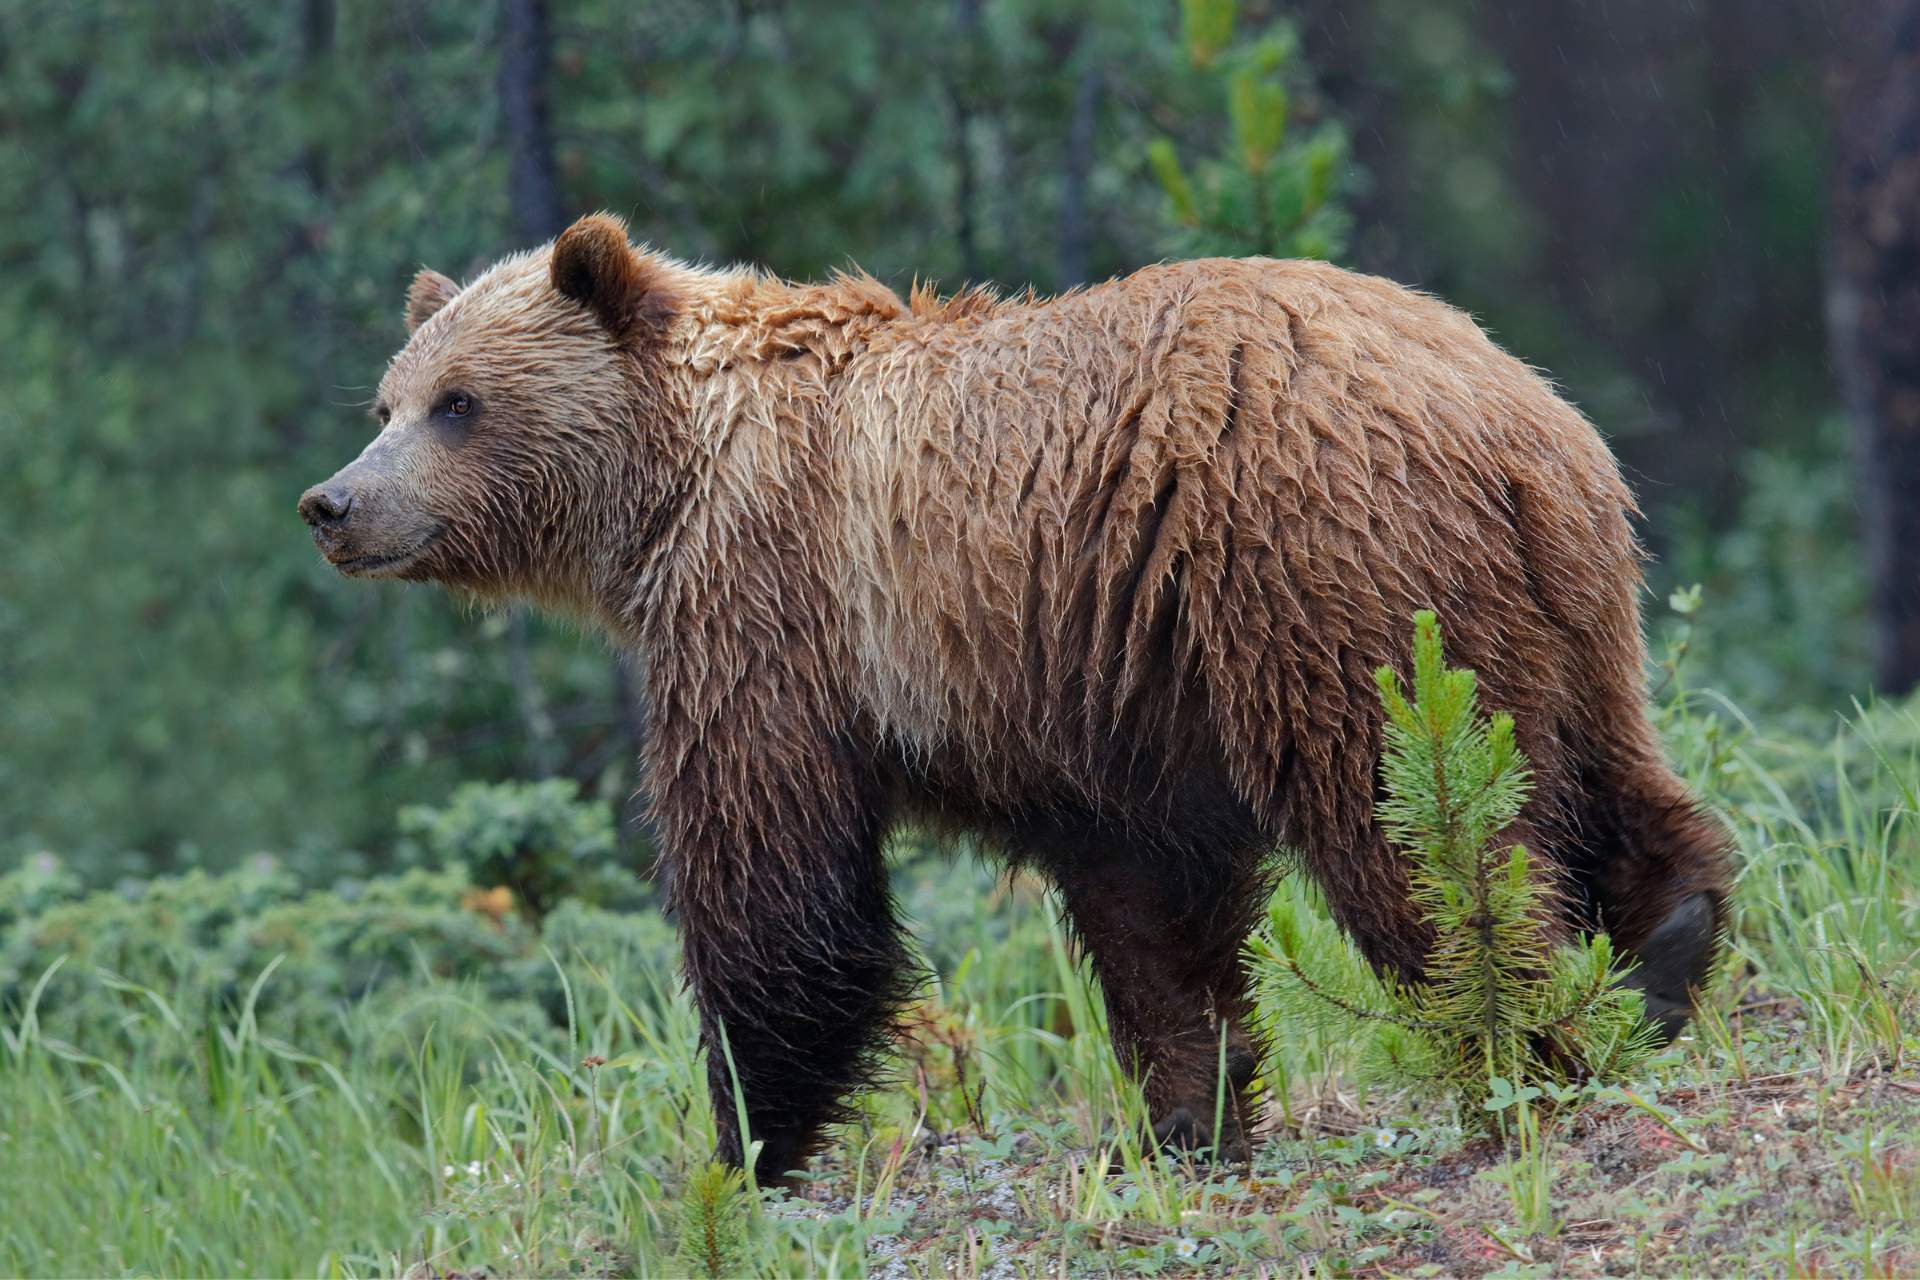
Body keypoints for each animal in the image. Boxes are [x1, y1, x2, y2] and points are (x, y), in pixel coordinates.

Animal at [300, 213, 1729, 1184]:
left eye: (459, 403)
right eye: (386, 397)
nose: (335, 501)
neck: (669, 486)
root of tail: (1508, 419)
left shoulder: (771, 609)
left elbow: (775, 887)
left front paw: (747, 1142)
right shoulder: (1101, 682)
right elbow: (1150, 905)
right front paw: (1185, 1116)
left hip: (1327, 581)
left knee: (1409, 826)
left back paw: (1517, 1039)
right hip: (1556, 597)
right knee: (1594, 767)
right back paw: (1674, 943)